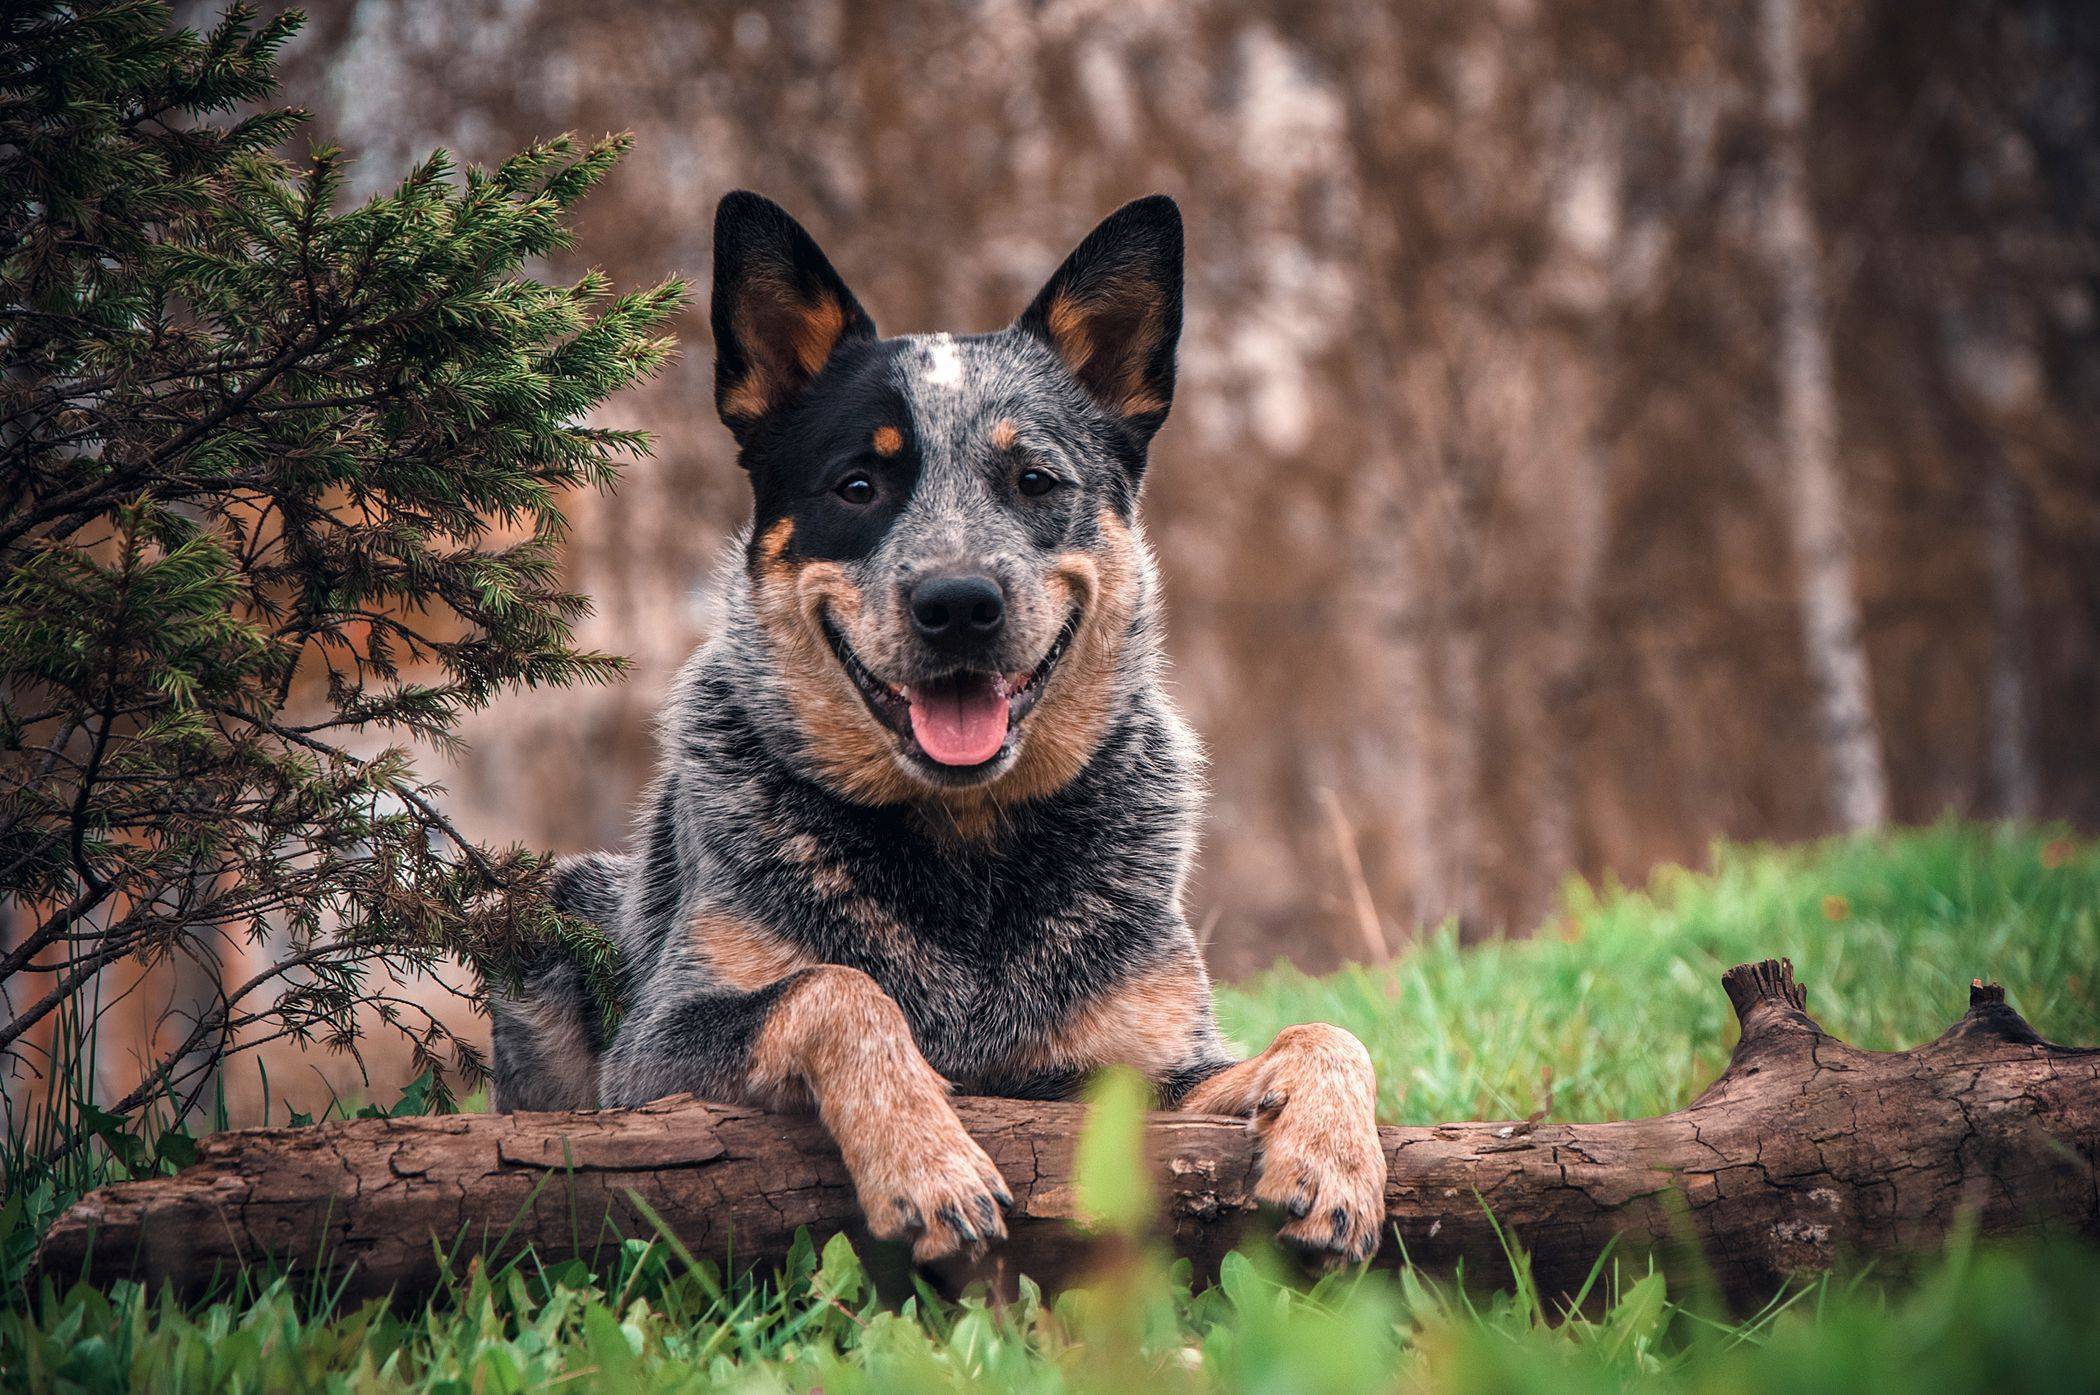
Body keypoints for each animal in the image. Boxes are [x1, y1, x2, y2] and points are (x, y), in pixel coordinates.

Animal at [482, 191, 1385, 1268]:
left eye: (1036, 480)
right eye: (857, 486)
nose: (959, 603)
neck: (966, 841)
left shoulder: (1140, 1064)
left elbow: (1328, 1035)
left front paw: (1336, 1162)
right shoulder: (654, 1056)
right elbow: (837, 989)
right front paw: (929, 1164)